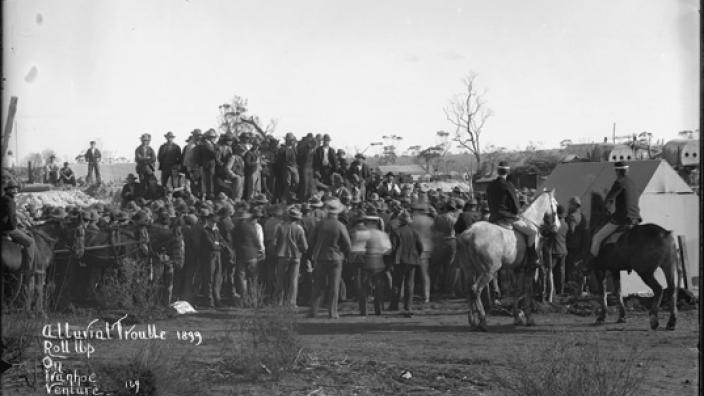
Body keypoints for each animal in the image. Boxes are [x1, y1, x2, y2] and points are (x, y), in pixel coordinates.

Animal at [456, 190, 560, 332]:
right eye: (556, 205)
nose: (557, 227)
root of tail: (469, 234)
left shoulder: (517, 269)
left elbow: (517, 290)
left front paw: (517, 317)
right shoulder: (530, 269)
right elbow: (528, 291)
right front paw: (528, 318)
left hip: (469, 270)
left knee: (468, 290)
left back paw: (473, 321)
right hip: (488, 272)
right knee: (475, 290)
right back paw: (482, 321)